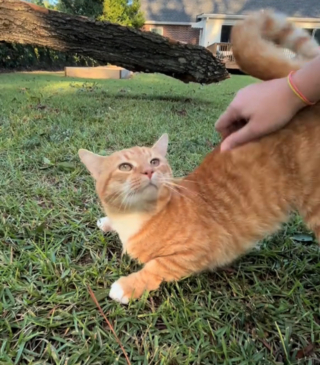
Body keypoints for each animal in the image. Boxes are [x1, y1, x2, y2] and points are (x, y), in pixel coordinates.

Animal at [79, 9, 320, 302]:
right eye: (125, 167)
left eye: (154, 162)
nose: (149, 172)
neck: (136, 220)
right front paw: (107, 222)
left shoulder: (194, 253)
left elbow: (156, 266)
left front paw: (127, 286)